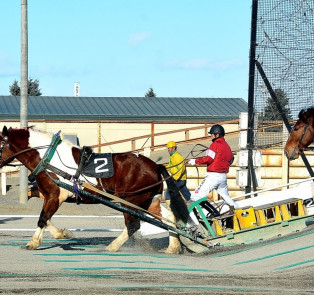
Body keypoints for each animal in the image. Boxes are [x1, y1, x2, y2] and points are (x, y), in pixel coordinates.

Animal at [0, 126, 189, 254]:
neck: (49, 158)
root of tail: (155, 165)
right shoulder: (49, 196)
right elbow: (46, 219)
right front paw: (61, 234)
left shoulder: (55, 196)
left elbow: (43, 219)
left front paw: (35, 242)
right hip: (148, 200)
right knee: (169, 218)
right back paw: (173, 247)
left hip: (130, 201)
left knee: (133, 225)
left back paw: (112, 247)